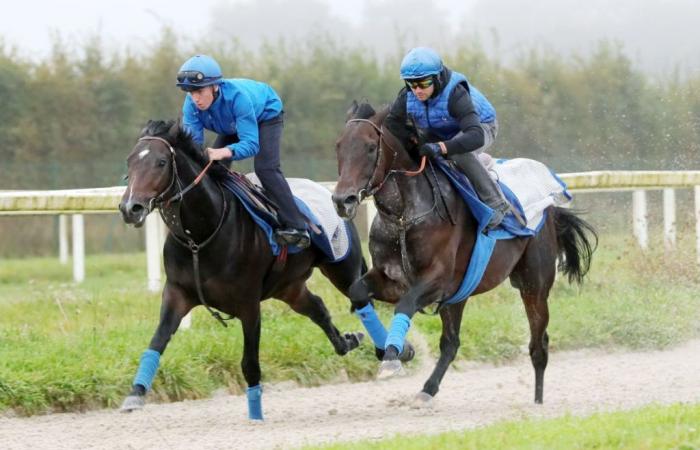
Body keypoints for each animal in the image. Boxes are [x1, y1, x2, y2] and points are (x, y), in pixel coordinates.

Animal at [118, 118, 366, 418]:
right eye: (130, 161)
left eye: (161, 162)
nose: (130, 207)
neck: (200, 237)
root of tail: (331, 194)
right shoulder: (177, 293)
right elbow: (157, 342)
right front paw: (135, 394)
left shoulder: (248, 304)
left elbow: (250, 364)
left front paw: (255, 414)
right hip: (289, 287)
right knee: (317, 307)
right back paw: (348, 341)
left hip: (343, 268)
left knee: (363, 300)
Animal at [332, 103, 596, 406]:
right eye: (339, 146)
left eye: (369, 147)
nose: (342, 200)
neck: (403, 217)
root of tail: (551, 207)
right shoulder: (393, 279)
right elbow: (358, 292)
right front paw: (395, 350)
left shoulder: (435, 281)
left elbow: (405, 305)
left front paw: (392, 355)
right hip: (459, 295)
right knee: (451, 343)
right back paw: (428, 389)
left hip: (534, 285)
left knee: (538, 345)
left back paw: (538, 403)